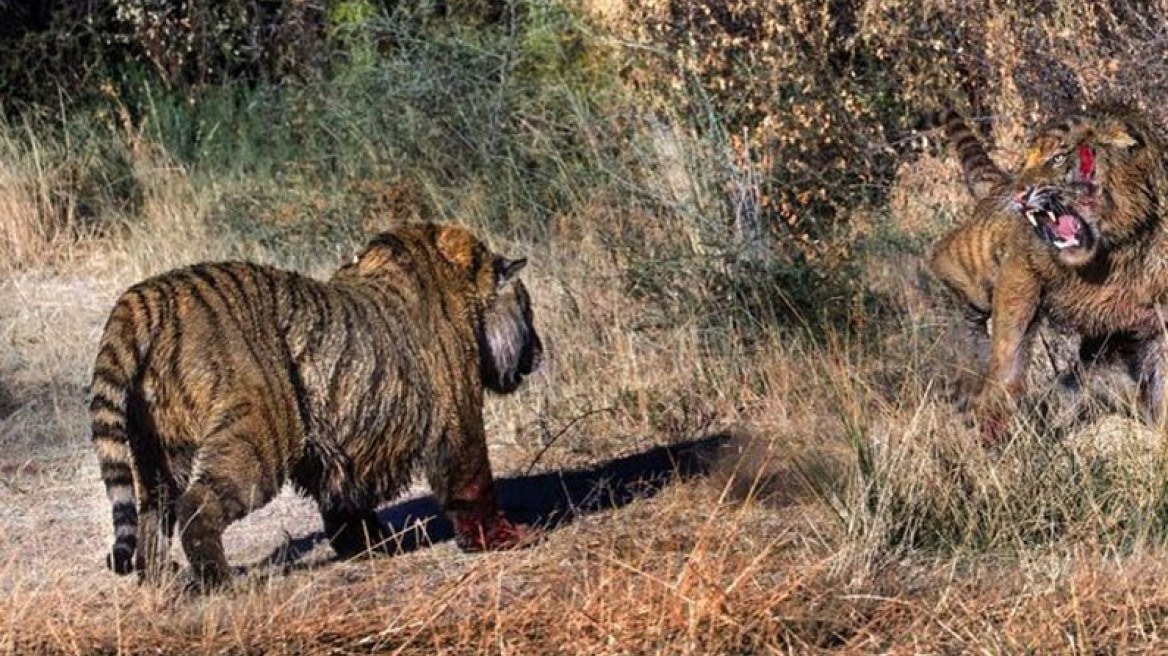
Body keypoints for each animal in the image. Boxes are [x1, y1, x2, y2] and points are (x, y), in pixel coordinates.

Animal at [89, 221, 541, 583]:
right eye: (529, 311)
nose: (538, 354)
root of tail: (146, 295)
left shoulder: (341, 444)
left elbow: (344, 501)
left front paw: (370, 544)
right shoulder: (457, 414)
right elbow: (473, 483)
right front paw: (508, 538)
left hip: (157, 448)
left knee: (153, 510)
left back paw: (159, 578)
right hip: (260, 435)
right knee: (197, 505)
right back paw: (218, 582)